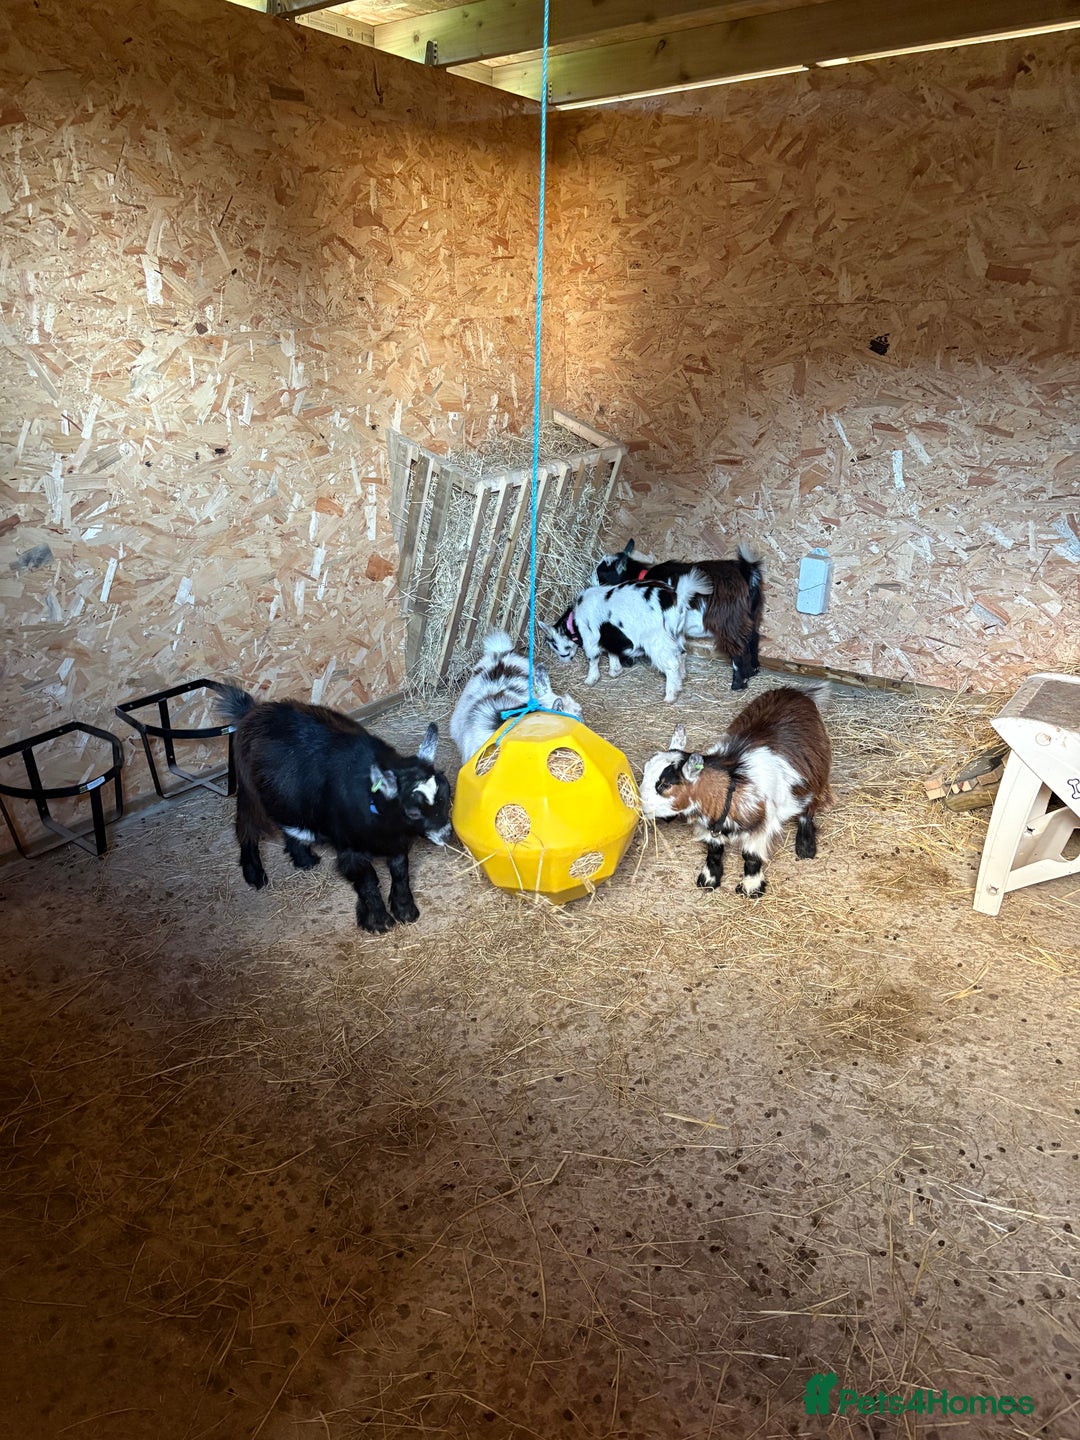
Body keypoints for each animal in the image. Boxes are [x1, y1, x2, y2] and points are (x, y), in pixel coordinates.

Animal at [211, 683, 452, 933]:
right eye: (413, 811)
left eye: (447, 793)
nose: (447, 834)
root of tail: (252, 710)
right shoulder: (350, 849)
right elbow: (368, 882)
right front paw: (378, 921)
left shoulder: (396, 842)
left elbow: (400, 871)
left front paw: (405, 910)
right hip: (250, 792)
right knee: (246, 825)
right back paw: (254, 873)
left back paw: (304, 858)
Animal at [541, 570, 711, 703]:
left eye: (553, 644)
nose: (563, 661)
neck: (573, 622)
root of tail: (677, 599)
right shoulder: (610, 636)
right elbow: (612, 652)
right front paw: (615, 671)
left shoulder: (591, 640)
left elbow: (593, 660)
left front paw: (590, 680)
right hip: (677, 634)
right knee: (682, 654)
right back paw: (680, 680)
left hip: (657, 641)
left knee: (672, 664)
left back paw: (670, 696)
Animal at [594, 538, 764, 691]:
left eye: (601, 574)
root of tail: (746, 572)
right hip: (750, 615)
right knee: (753, 637)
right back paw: (752, 671)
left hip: (729, 620)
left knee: (739, 648)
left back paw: (738, 684)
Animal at [639, 685, 832, 896]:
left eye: (665, 785)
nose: (640, 807)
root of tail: (795, 691)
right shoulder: (712, 828)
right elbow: (714, 851)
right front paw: (709, 879)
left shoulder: (761, 827)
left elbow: (751, 856)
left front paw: (751, 887)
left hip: (816, 772)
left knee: (809, 806)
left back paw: (805, 846)